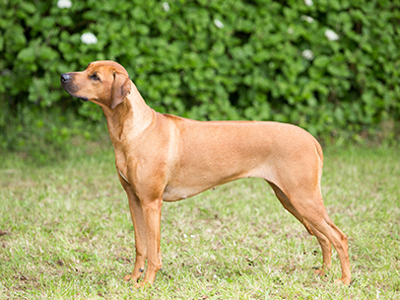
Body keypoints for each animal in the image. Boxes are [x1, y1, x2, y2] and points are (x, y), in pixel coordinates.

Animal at [60, 60, 350, 286]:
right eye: (86, 67)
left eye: (95, 77)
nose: (63, 77)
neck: (133, 130)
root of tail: (311, 138)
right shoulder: (134, 199)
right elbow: (140, 246)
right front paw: (133, 279)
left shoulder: (152, 203)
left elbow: (153, 251)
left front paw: (147, 284)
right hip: (290, 199)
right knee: (324, 238)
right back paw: (323, 273)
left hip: (303, 198)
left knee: (339, 237)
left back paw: (344, 280)